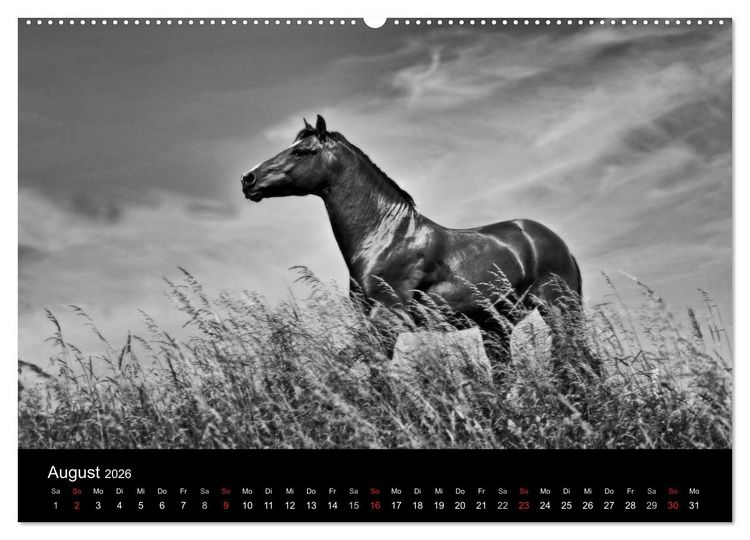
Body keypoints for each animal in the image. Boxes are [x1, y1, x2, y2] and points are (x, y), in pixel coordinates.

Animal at [241, 115, 599, 383]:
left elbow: (342, 366)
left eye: (301, 151)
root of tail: (555, 242)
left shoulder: (387, 319)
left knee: (577, 362)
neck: (386, 238)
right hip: (497, 326)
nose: (248, 179)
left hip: (559, 310)